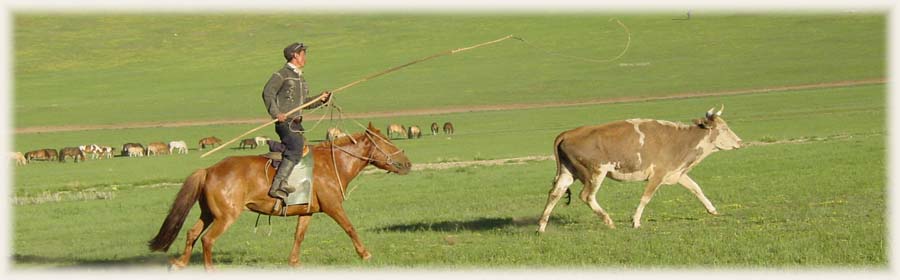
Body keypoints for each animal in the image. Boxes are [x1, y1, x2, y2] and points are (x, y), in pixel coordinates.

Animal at [149, 123, 414, 272]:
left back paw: (180, 263)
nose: (408, 163)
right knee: (207, 240)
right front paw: (365, 254)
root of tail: (209, 170)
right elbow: (349, 227)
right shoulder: (333, 207)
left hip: (208, 214)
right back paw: (209, 269)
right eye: (387, 143)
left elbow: (299, 236)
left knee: (192, 234)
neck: (333, 163)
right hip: (225, 217)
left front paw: (294, 262)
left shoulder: (307, 212)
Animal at [536, 106, 740, 231]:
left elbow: (697, 189)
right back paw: (609, 221)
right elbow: (646, 198)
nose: (740, 141)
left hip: (568, 171)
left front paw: (713, 210)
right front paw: (635, 221)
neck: (679, 141)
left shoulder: (676, 173)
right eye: (724, 129)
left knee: (555, 193)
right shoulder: (658, 175)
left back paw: (541, 227)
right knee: (587, 196)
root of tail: (569, 133)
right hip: (596, 172)